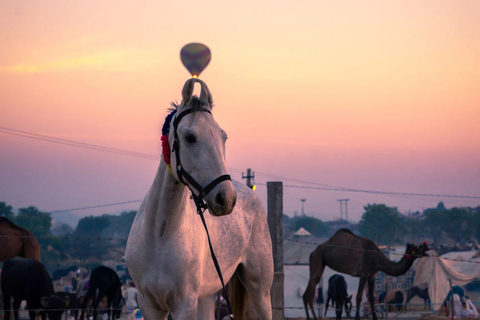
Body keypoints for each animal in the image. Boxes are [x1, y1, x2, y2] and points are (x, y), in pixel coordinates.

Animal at [124, 78, 274, 320]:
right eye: (190, 137)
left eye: (224, 137)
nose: (226, 198)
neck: (159, 235)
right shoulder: (149, 305)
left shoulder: (184, 304)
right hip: (208, 296)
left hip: (259, 288)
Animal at [302, 229, 430, 320]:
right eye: (413, 250)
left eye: (420, 247)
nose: (426, 250)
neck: (377, 259)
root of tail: (313, 252)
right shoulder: (363, 274)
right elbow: (358, 297)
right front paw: (357, 318)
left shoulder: (371, 276)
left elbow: (372, 298)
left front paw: (375, 318)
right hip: (318, 259)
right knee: (310, 293)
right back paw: (313, 318)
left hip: (317, 263)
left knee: (306, 293)